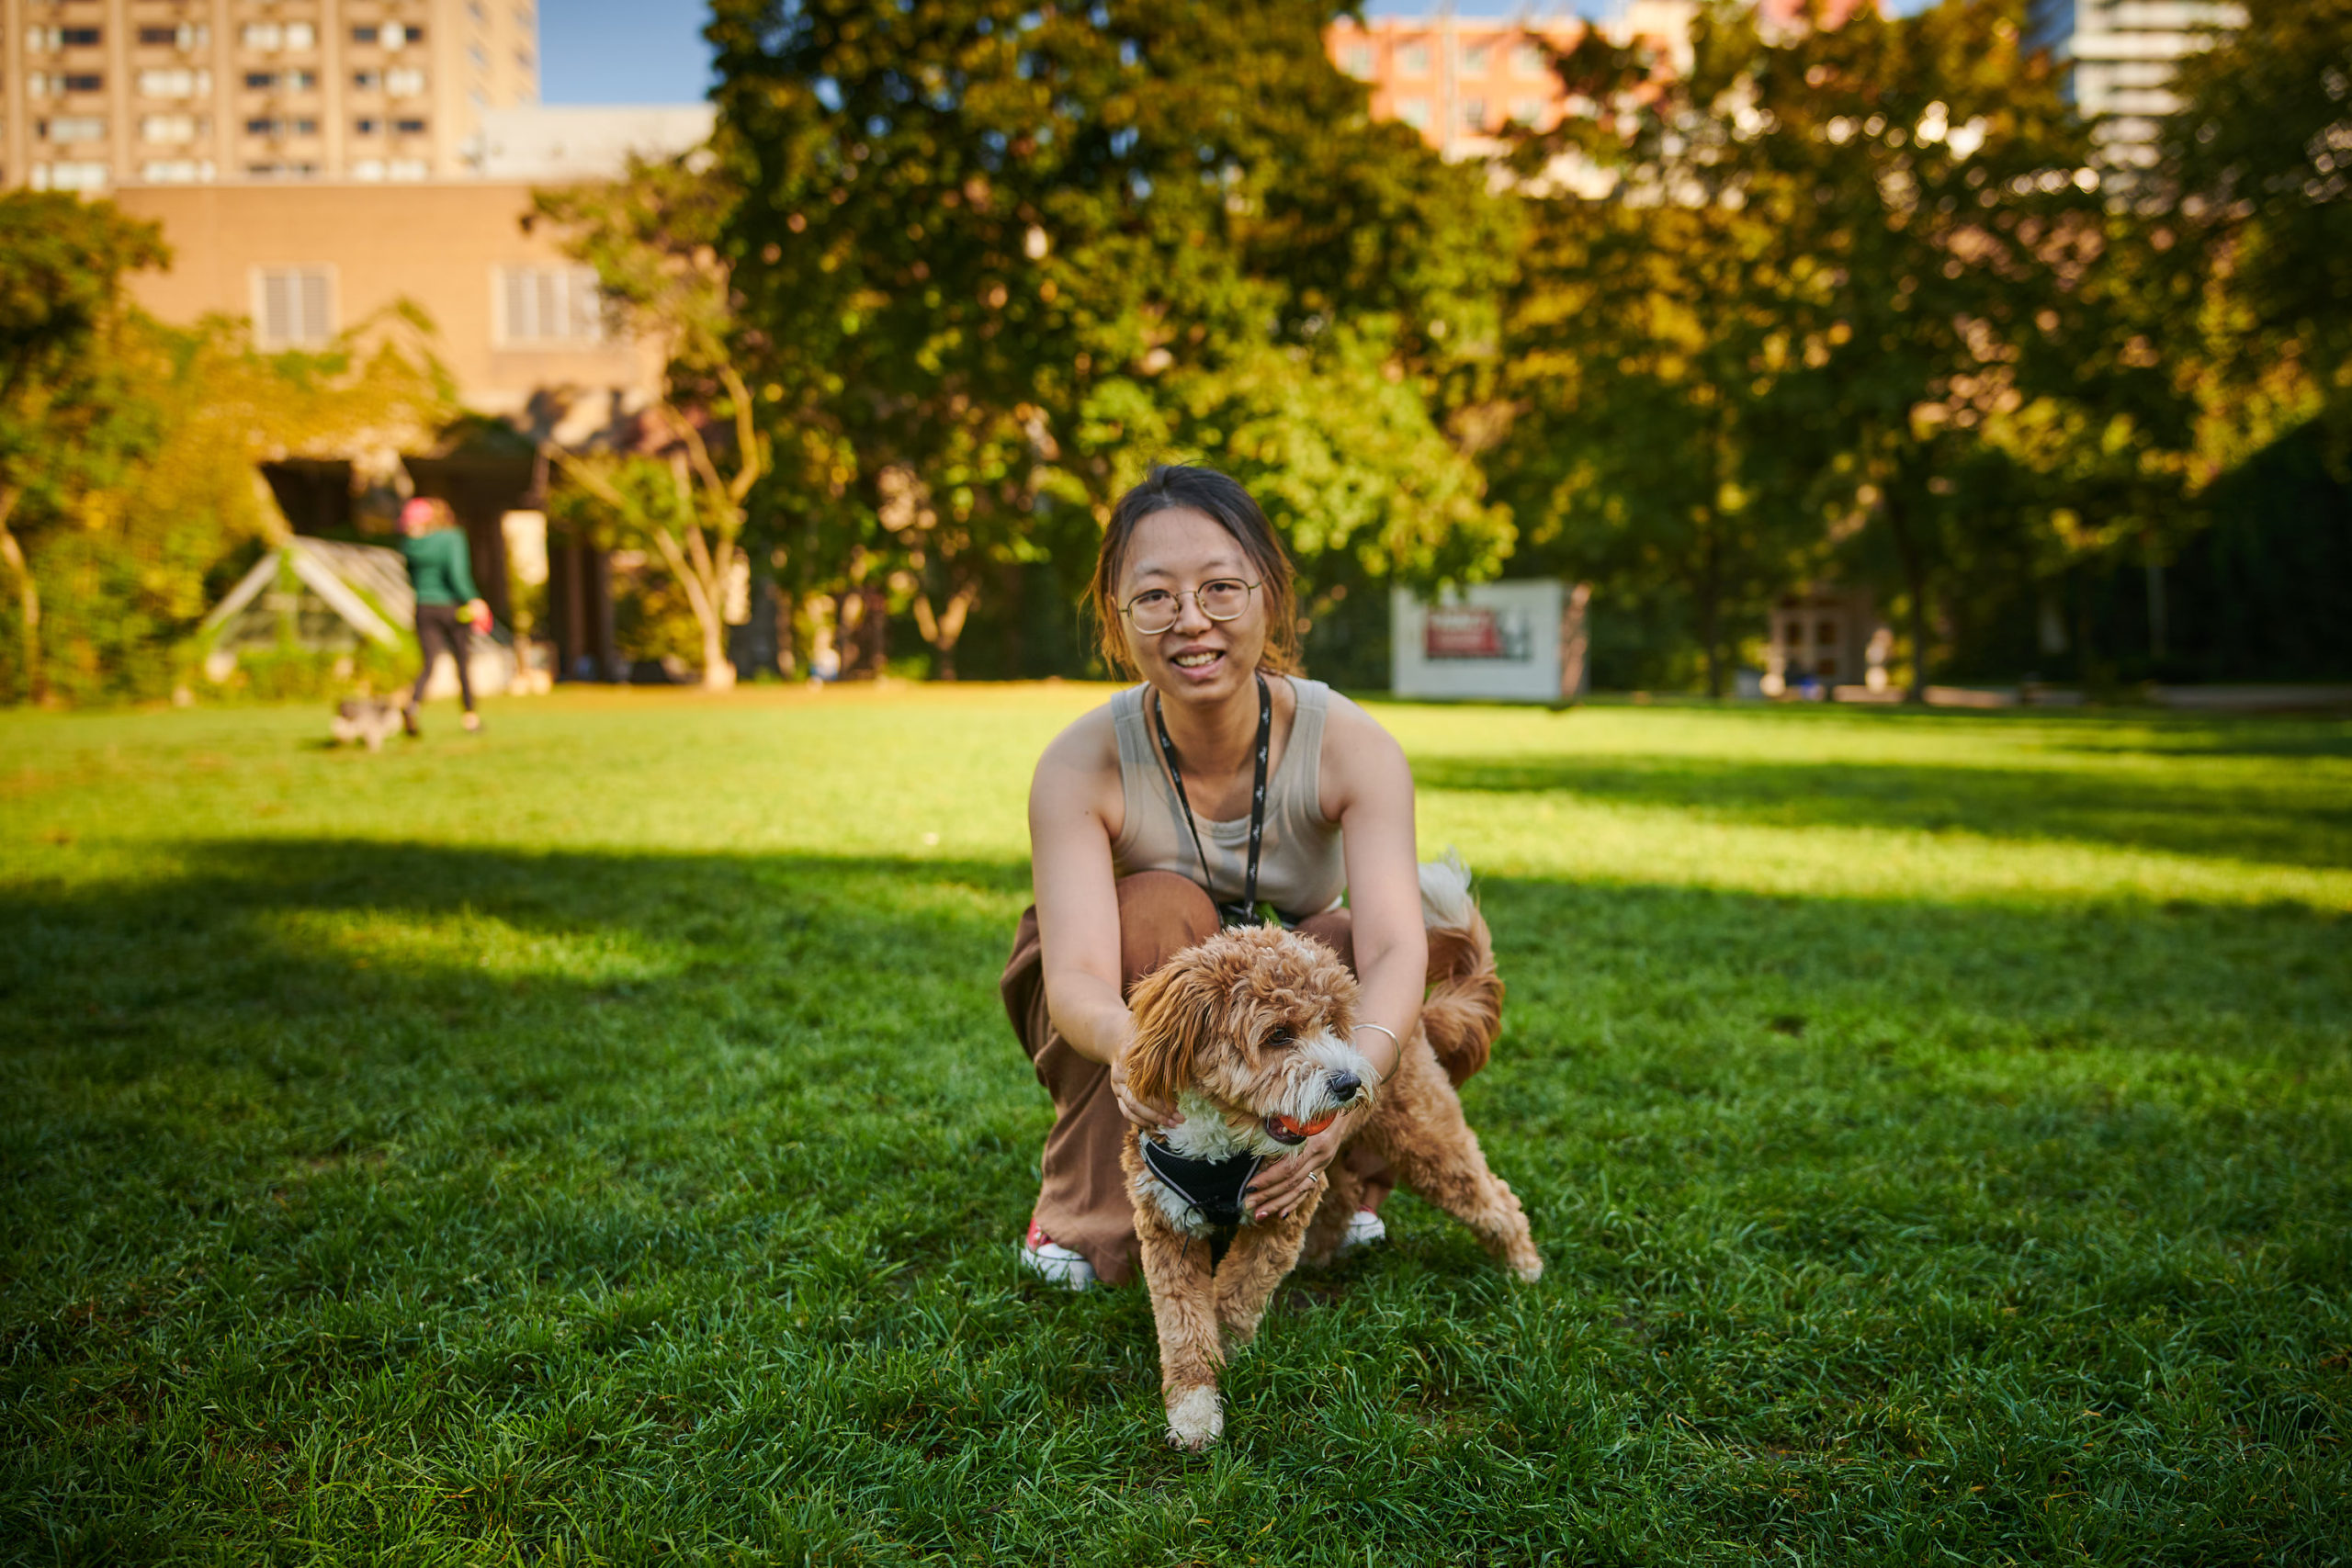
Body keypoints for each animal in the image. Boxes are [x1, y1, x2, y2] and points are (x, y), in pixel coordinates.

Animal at [1119, 864, 1543, 1457]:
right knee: (1341, 1199)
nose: (1348, 1083)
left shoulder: (1280, 1213)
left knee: (1492, 1196)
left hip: (1426, 1140)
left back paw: (1524, 1266)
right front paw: (1195, 1408)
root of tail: (1417, 1020)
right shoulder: (1165, 1223)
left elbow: (1234, 1295)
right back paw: (1322, 1257)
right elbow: (1183, 1322)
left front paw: (1227, 1350)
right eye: (1278, 1035)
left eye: (1334, 1025)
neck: (1225, 1144)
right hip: (1335, 1165)